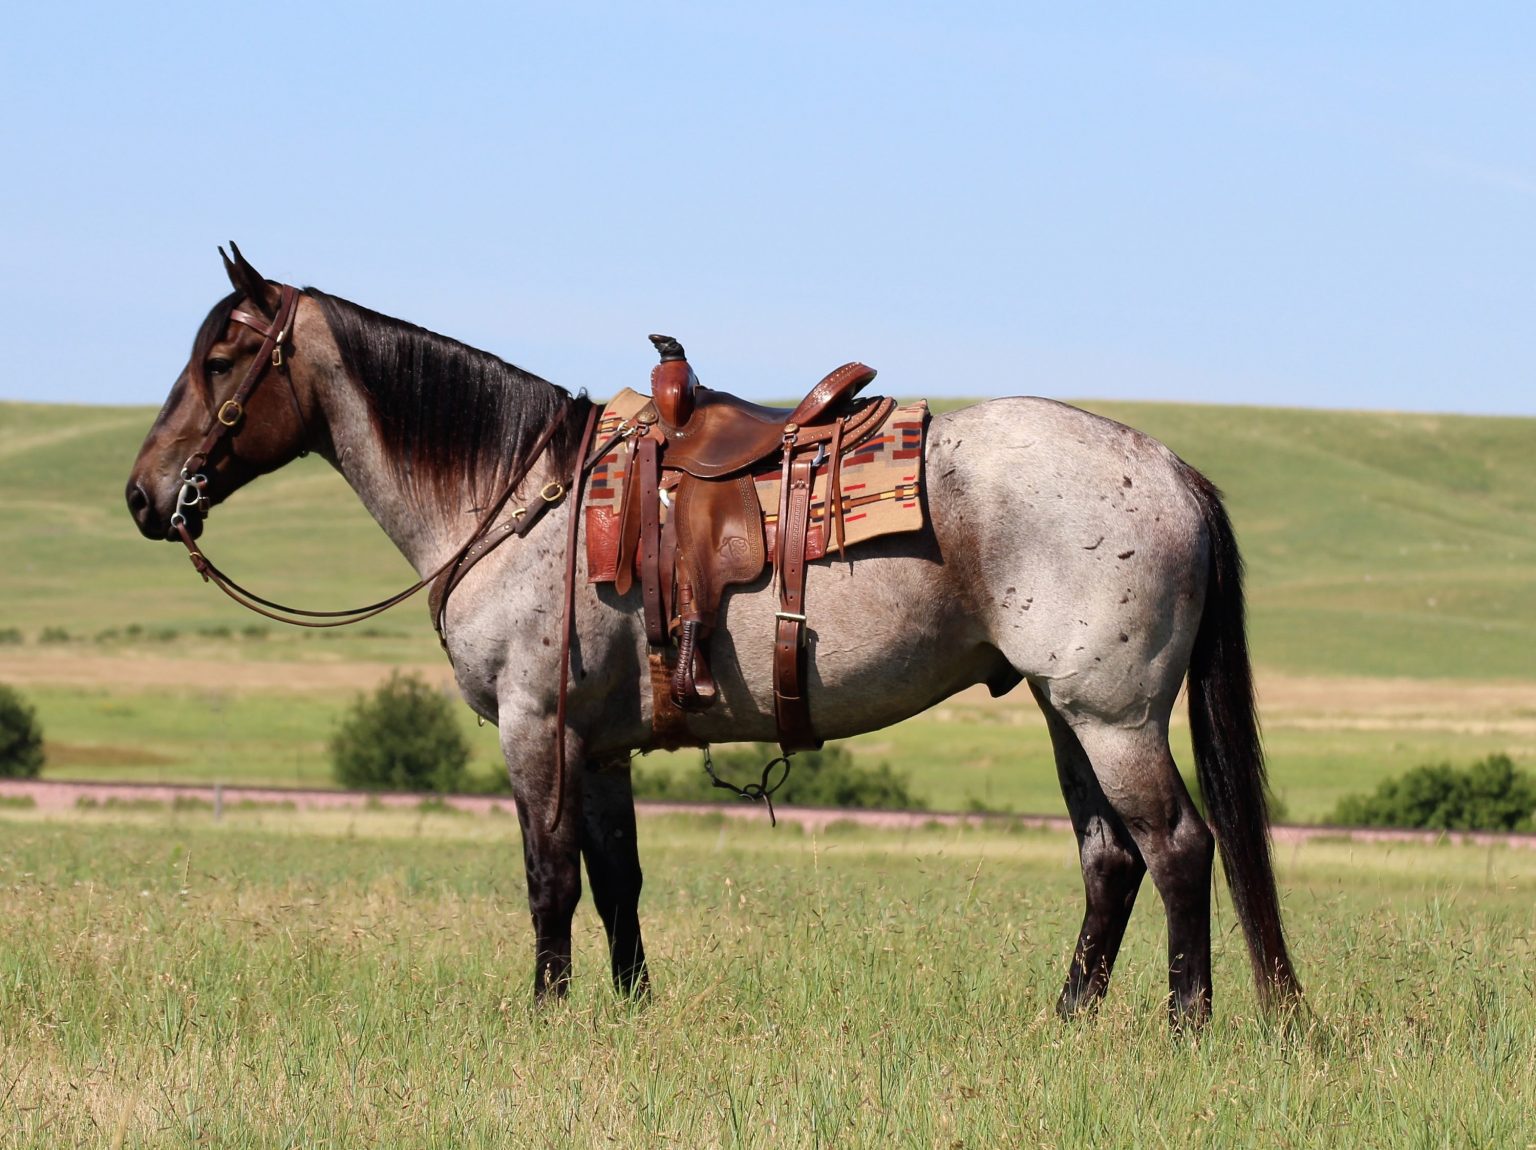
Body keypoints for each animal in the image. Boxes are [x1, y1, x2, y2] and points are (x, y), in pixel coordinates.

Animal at [125, 248, 1302, 1025]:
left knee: (1178, 847)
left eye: (224, 357)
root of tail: (1170, 469)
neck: (521, 495)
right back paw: (1065, 1022)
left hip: (1114, 716)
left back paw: (1185, 1025)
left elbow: (548, 877)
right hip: (1068, 713)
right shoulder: (597, 745)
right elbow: (617, 879)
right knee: (1110, 859)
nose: (145, 495)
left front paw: (544, 1017)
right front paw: (629, 1011)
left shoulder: (533, 724)